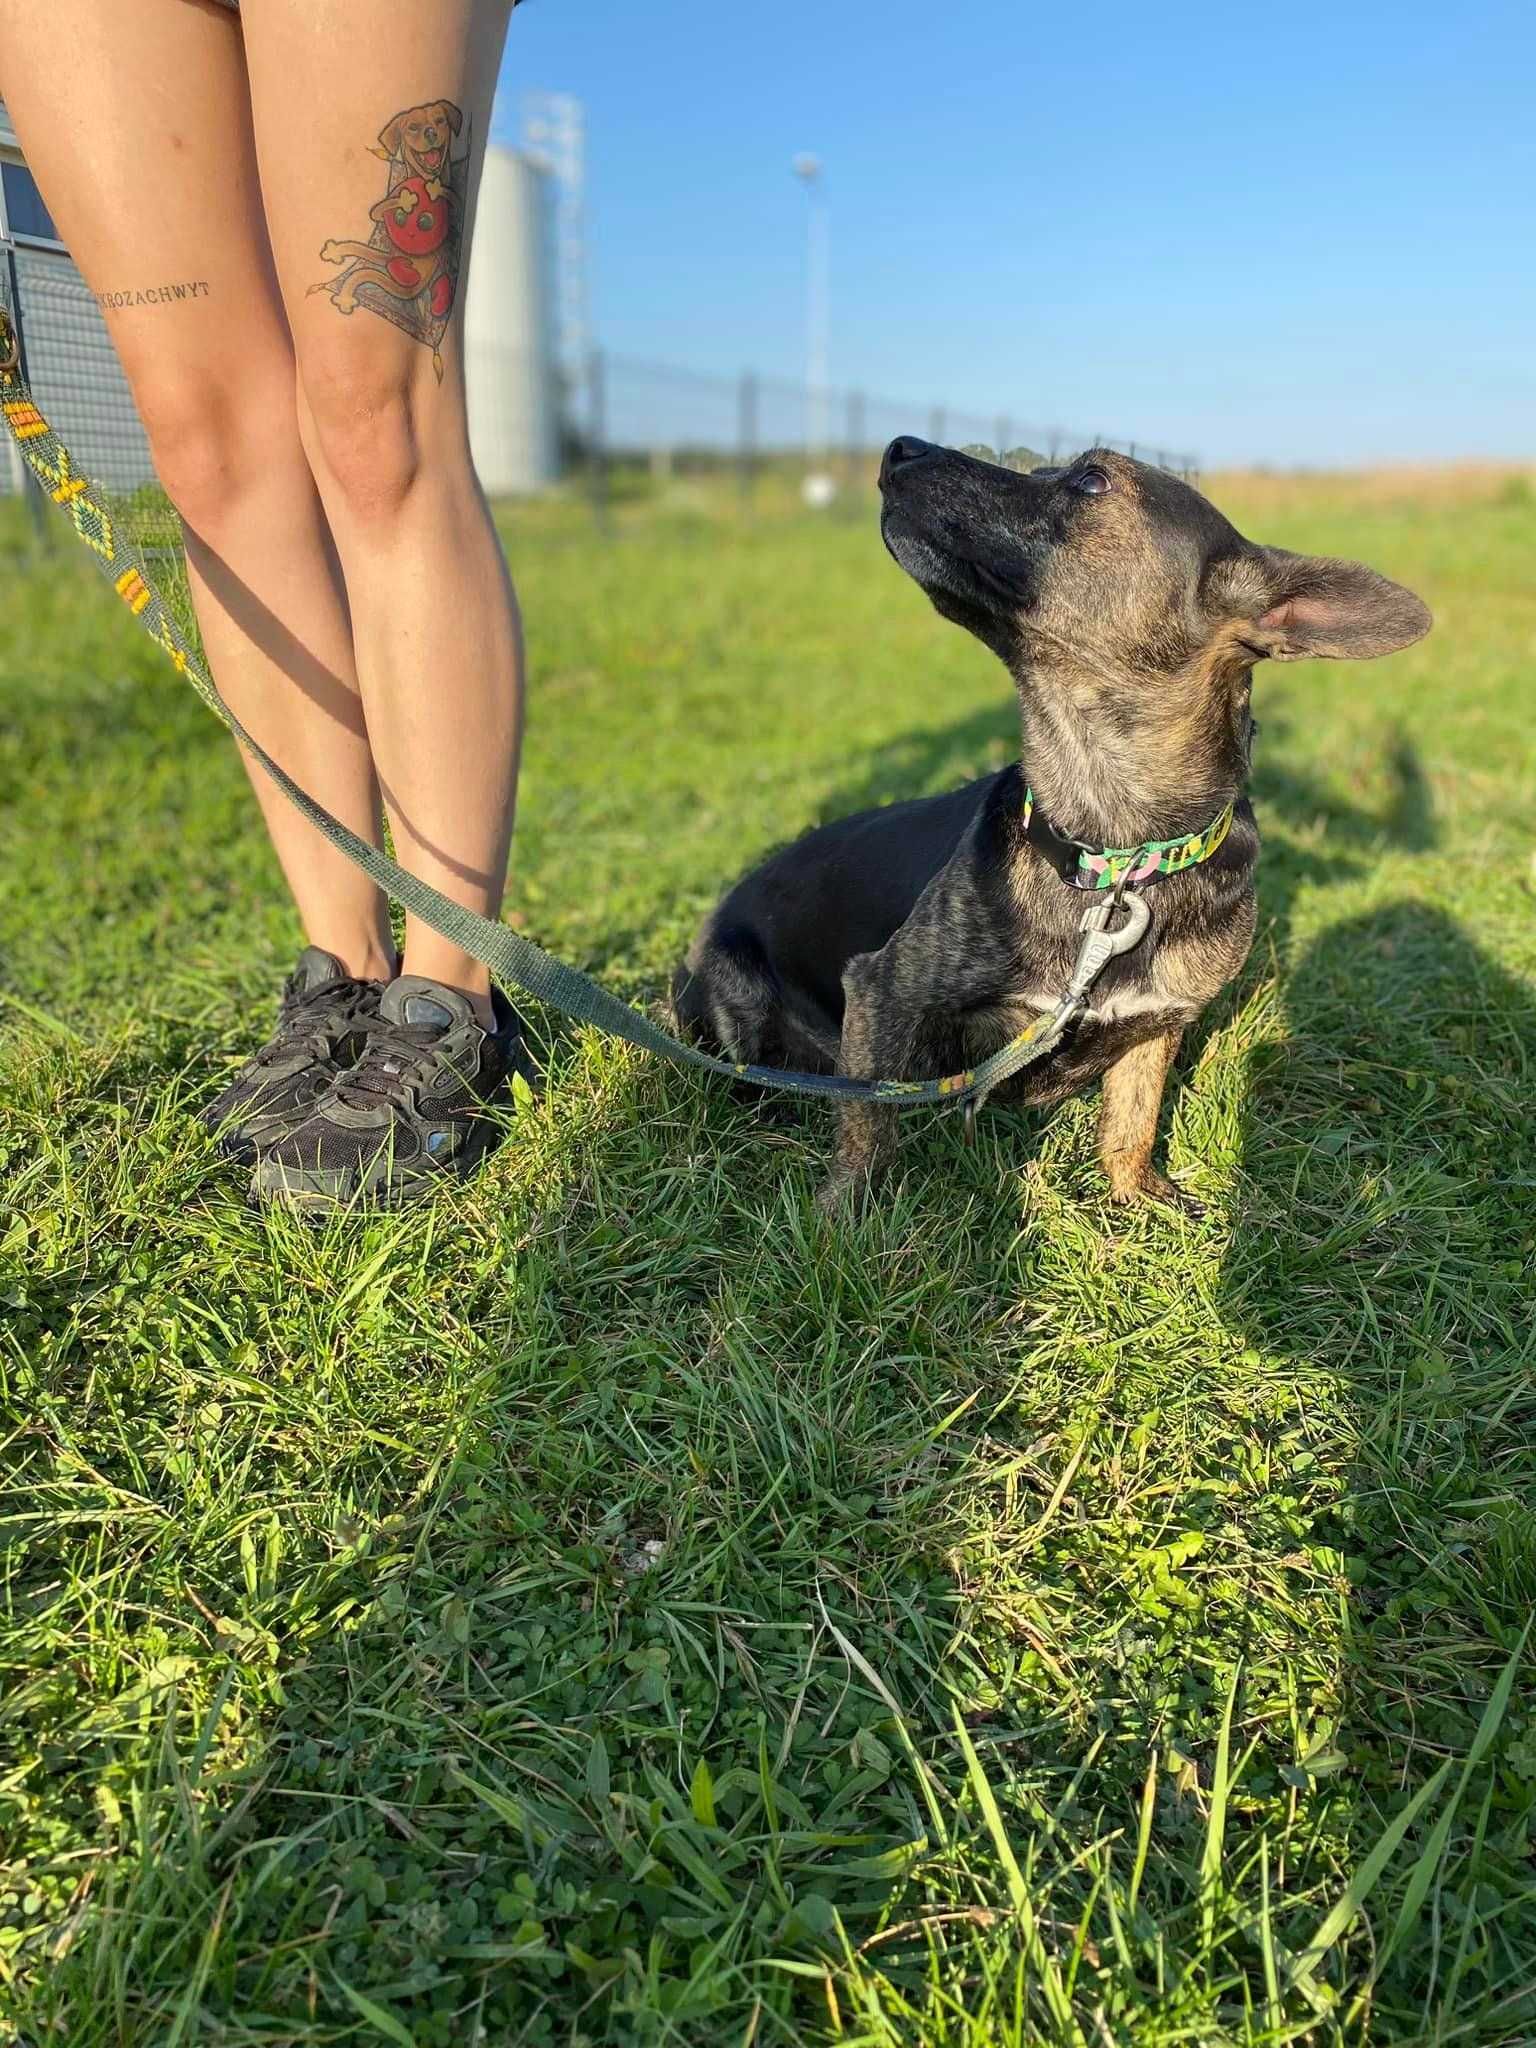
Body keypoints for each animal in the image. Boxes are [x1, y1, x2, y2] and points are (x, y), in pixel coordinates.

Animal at [671, 440, 1433, 1204]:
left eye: (1091, 480)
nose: (898, 448)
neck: (1114, 856)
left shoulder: (1158, 1023)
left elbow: (1132, 1121)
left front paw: (1139, 1198)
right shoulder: (881, 989)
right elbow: (867, 1127)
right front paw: (846, 1215)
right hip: (737, 986)